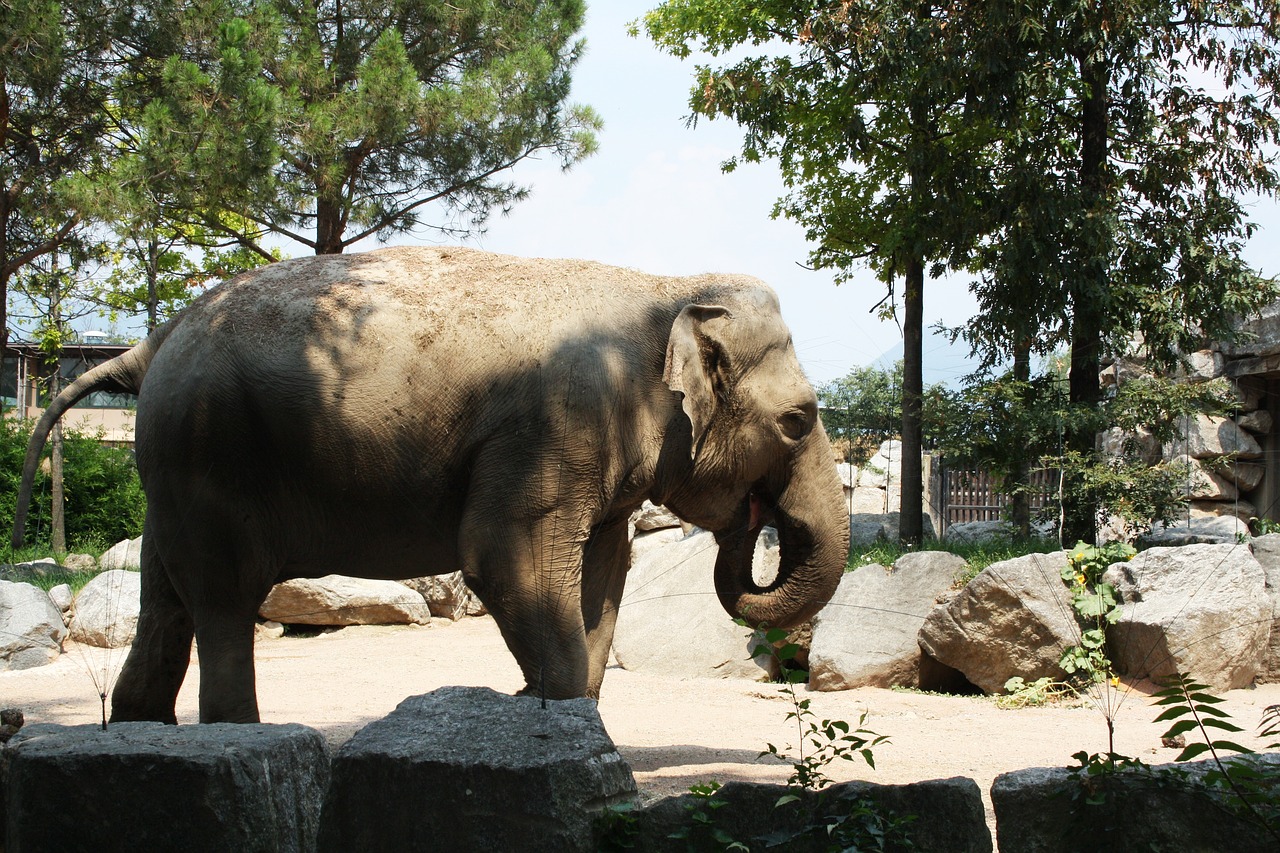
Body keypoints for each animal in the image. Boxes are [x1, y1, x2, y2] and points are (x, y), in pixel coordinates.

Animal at [15, 244, 849, 717]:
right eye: (799, 421)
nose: (754, 520)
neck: (664, 288)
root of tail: (151, 343)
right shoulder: (554, 425)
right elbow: (504, 558)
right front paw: (539, 713)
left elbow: (604, 575)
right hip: (212, 451)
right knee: (224, 601)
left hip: (176, 467)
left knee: (168, 603)